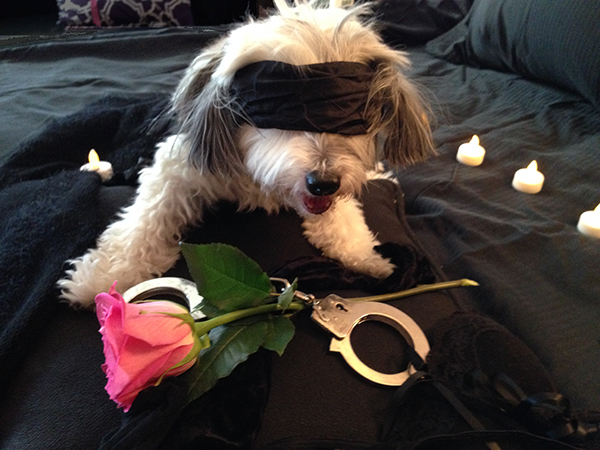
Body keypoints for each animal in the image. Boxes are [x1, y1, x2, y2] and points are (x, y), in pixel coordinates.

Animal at [58, 0, 435, 308]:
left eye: (351, 121)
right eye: (284, 115)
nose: (323, 183)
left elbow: (342, 221)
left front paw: (365, 254)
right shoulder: (179, 167)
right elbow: (146, 222)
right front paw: (106, 274)